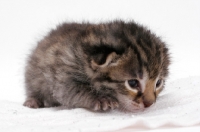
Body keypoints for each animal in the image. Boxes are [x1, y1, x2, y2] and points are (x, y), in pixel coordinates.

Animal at [23, 20, 170, 112]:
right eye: (133, 83)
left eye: (158, 83)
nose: (149, 104)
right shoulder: (63, 77)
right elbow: (76, 90)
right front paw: (101, 99)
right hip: (33, 75)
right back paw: (33, 101)